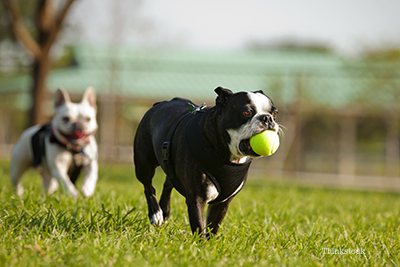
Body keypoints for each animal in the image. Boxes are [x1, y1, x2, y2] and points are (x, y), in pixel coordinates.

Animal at [134, 87, 278, 237]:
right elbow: (199, 227)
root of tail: (160, 103)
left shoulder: (222, 203)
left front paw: (210, 242)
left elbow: (212, 227)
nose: (267, 118)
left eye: (275, 113)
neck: (230, 158)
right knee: (148, 187)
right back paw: (156, 214)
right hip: (144, 163)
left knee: (168, 181)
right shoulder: (197, 199)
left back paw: (164, 210)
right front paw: (200, 243)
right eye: (247, 112)